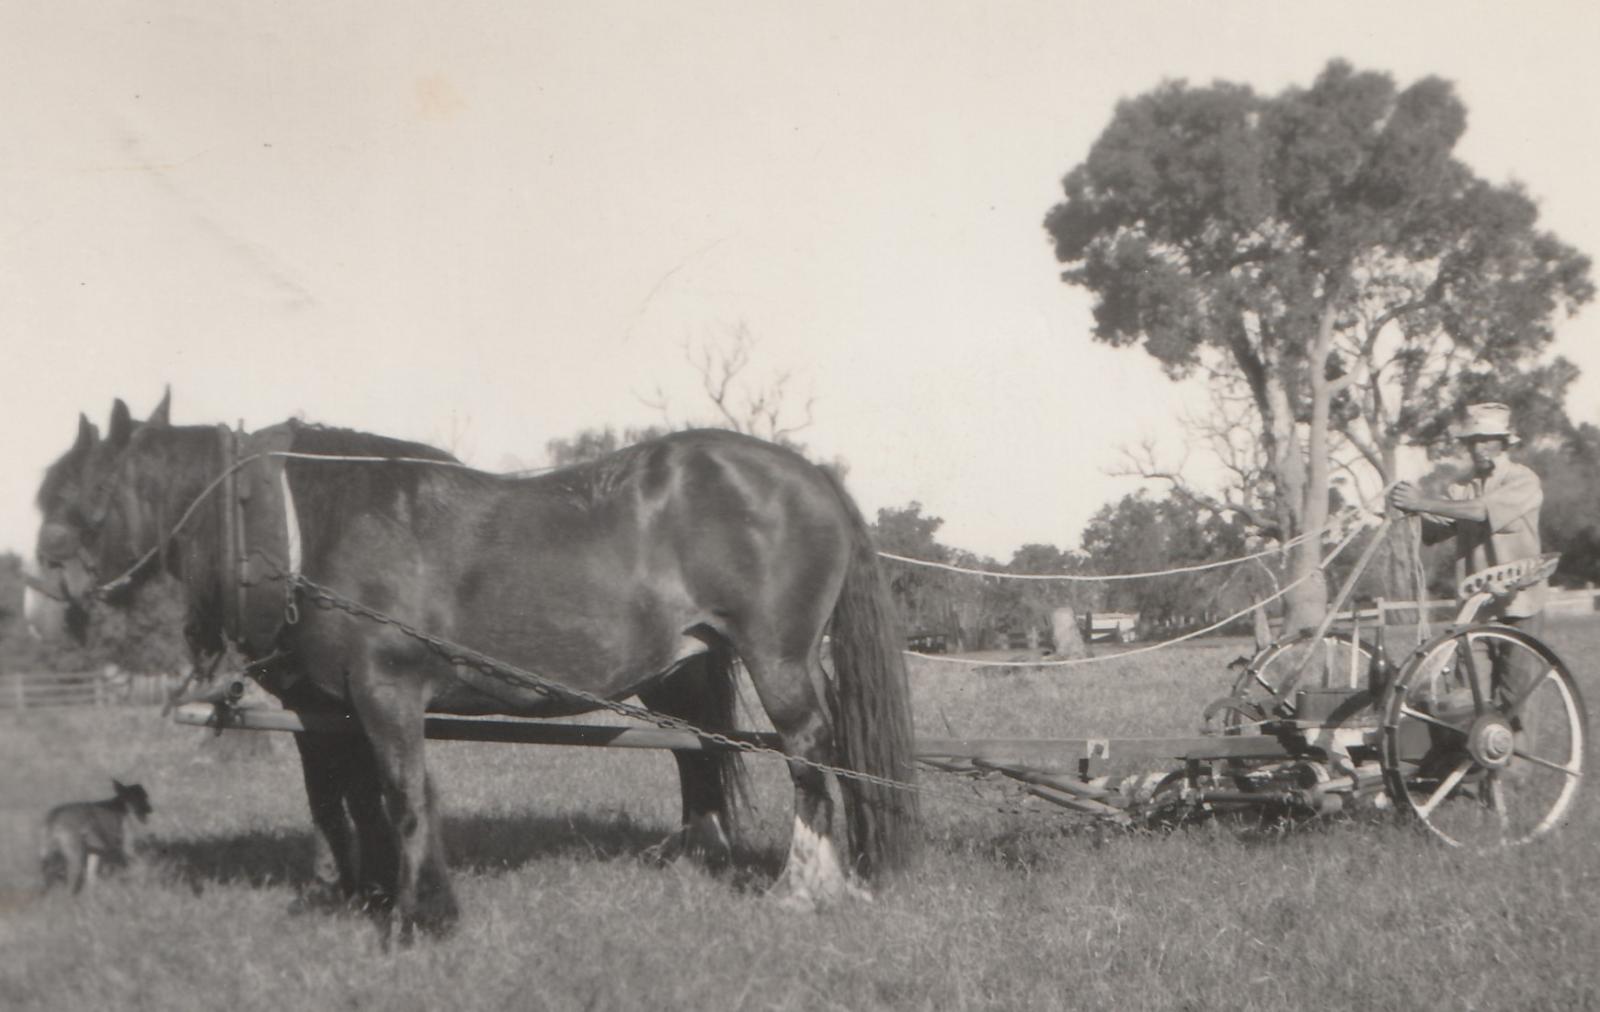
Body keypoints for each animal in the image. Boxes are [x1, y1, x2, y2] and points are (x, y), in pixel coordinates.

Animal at [31, 395, 921, 941]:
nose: (44, 584)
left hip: (780, 663)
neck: (305, 525)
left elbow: (404, 799)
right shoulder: (330, 710)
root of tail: (809, 476)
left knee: (809, 756)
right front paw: (359, 897)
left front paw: (414, 917)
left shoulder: (387, 693)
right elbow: (343, 806)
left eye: (78, 495)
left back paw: (805, 888)